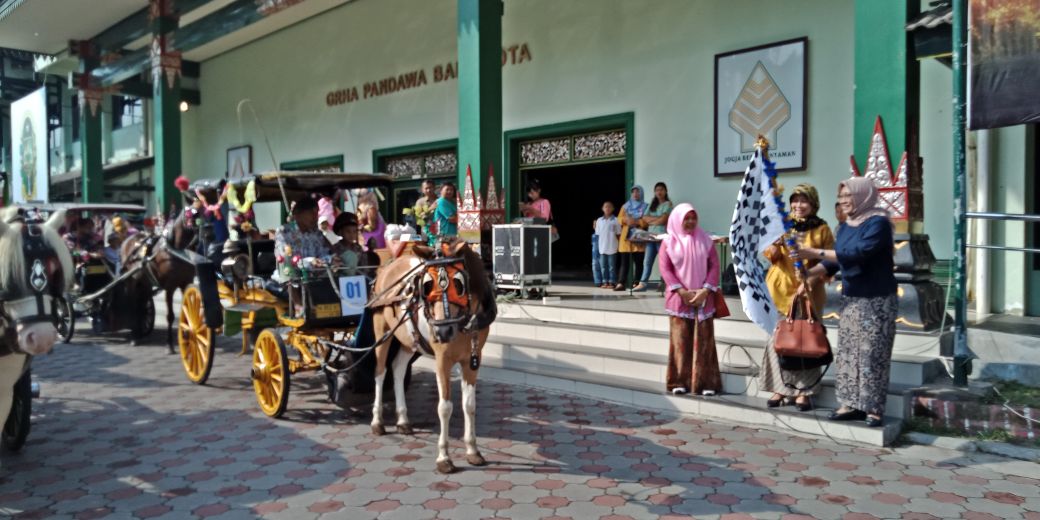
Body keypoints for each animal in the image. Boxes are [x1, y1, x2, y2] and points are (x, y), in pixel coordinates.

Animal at [121, 209, 196, 351]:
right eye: (190, 214)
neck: (175, 250)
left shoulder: (186, 282)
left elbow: (187, 312)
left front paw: (186, 337)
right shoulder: (170, 286)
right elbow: (170, 316)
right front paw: (169, 344)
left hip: (144, 282)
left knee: (141, 305)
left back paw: (139, 333)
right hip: (131, 280)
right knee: (133, 306)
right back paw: (134, 337)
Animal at [368, 239, 497, 476]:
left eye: (459, 283)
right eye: (427, 285)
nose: (442, 331)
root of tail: (389, 266)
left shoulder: (472, 360)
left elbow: (469, 405)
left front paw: (473, 450)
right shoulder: (442, 360)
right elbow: (445, 407)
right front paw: (444, 457)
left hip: (410, 340)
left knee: (397, 368)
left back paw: (403, 420)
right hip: (382, 331)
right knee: (380, 372)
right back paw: (377, 422)